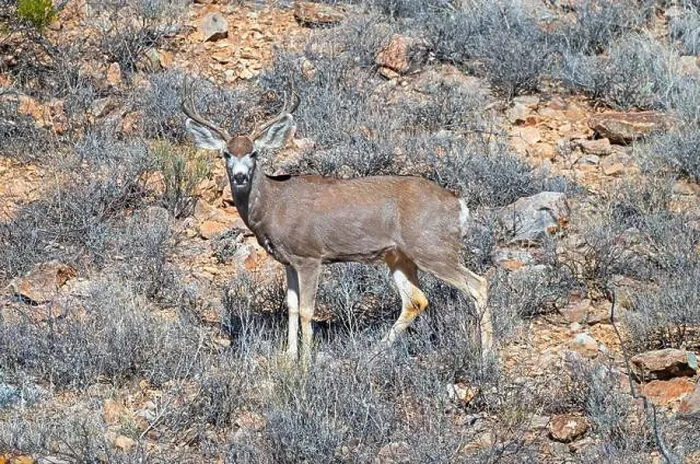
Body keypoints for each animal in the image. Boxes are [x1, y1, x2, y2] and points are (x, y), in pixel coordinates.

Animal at [181, 78, 495, 362]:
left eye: (254, 153)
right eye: (226, 154)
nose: (240, 176)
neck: (274, 204)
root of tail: (459, 205)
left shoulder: (309, 256)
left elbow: (307, 310)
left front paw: (306, 362)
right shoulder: (289, 261)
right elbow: (291, 307)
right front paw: (288, 357)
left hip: (432, 247)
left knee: (478, 284)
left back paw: (486, 355)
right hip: (398, 255)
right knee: (416, 300)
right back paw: (373, 353)